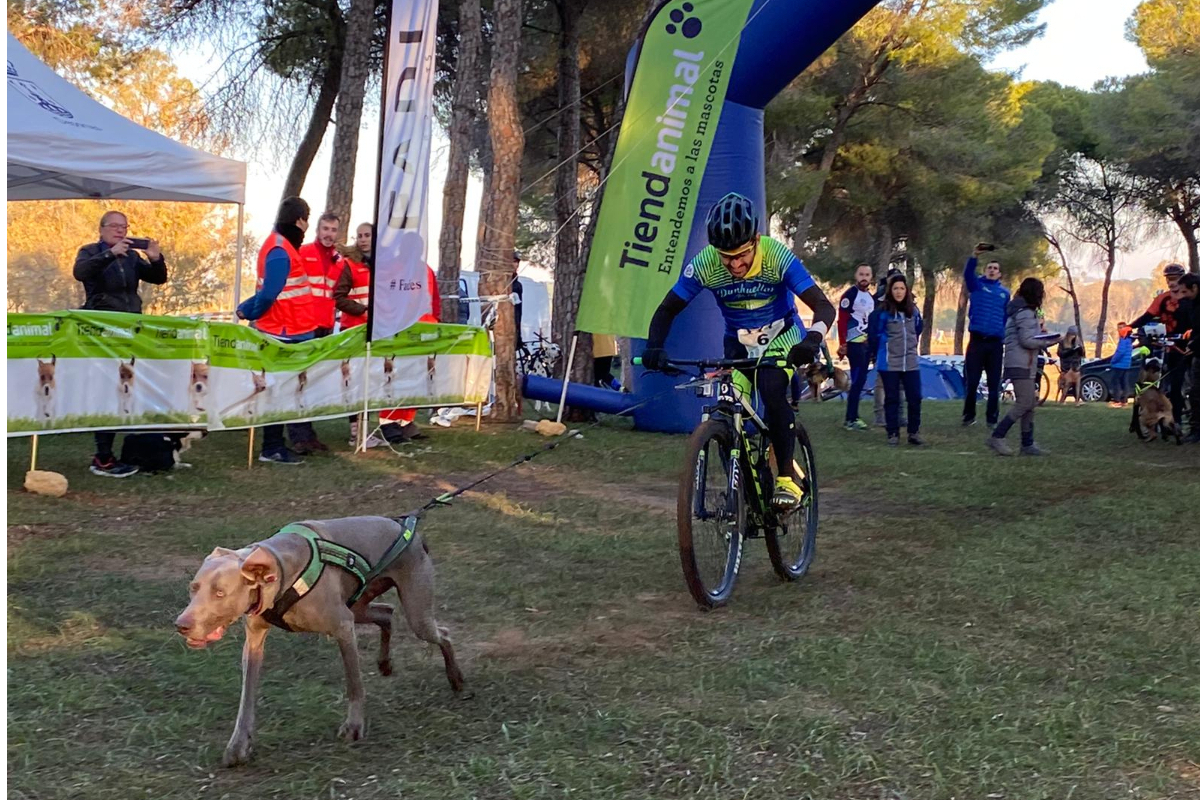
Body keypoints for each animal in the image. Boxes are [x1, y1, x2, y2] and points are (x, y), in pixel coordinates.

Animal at [174, 515, 463, 767]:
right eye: (193, 588)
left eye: (220, 593)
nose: (181, 625)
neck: (283, 572)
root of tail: (413, 533)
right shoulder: (254, 640)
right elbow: (247, 698)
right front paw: (238, 746)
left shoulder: (343, 627)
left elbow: (354, 684)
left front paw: (354, 727)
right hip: (359, 605)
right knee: (387, 613)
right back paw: (385, 663)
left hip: (414, 612)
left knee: (443, 633)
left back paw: (456, 678)